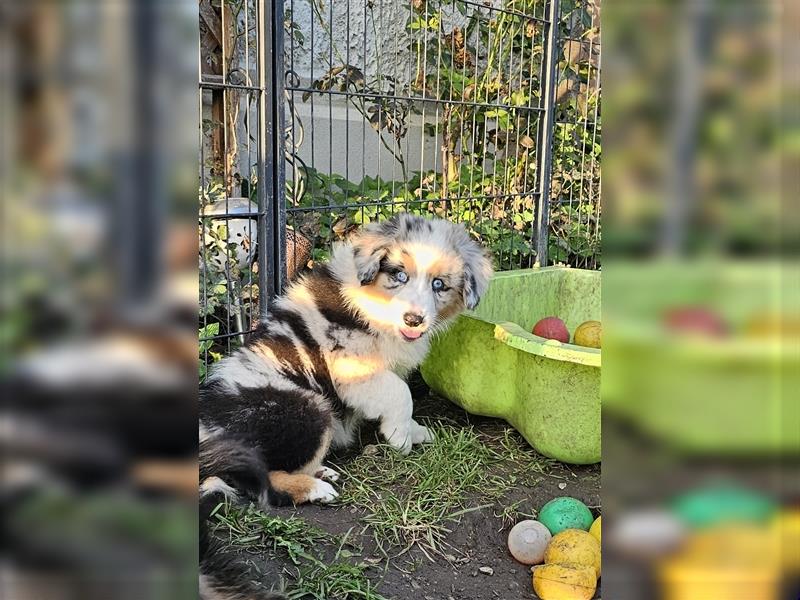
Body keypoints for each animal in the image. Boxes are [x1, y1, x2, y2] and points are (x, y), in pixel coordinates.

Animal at [197, 213, 490, 508]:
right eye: (400, 275)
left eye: (438, 284)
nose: (413, 320)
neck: (375, 302)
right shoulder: (351, 369)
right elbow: (401, 392)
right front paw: (400, 437)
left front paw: (414, 431)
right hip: (310, 408)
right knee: (262, 478)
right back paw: (316, 489)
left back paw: (321, 471)